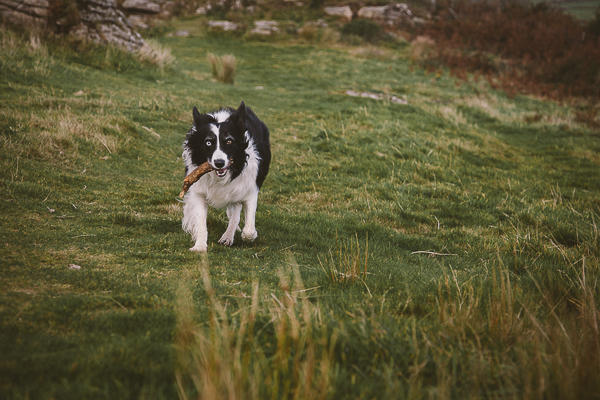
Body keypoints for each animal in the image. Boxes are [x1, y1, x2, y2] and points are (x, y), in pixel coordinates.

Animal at [179, 101, 270, 252]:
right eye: (208, 142)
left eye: (229, 141)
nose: (219, 163)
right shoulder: (198, 192)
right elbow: (200, 221)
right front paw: (200, 246)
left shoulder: (249, 189)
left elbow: (249, 230)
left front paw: (247, 235)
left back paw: (228, 236)